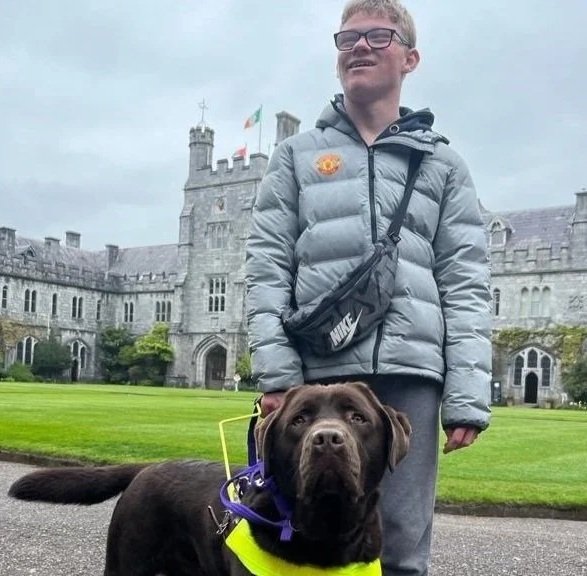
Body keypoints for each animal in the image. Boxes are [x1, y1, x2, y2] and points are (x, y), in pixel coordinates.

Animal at [9, 382, 411, 576]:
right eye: (299, 420)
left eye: (358, 418)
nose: (327, 438)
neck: (324, 534)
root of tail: (147, 466)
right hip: (127, 562)